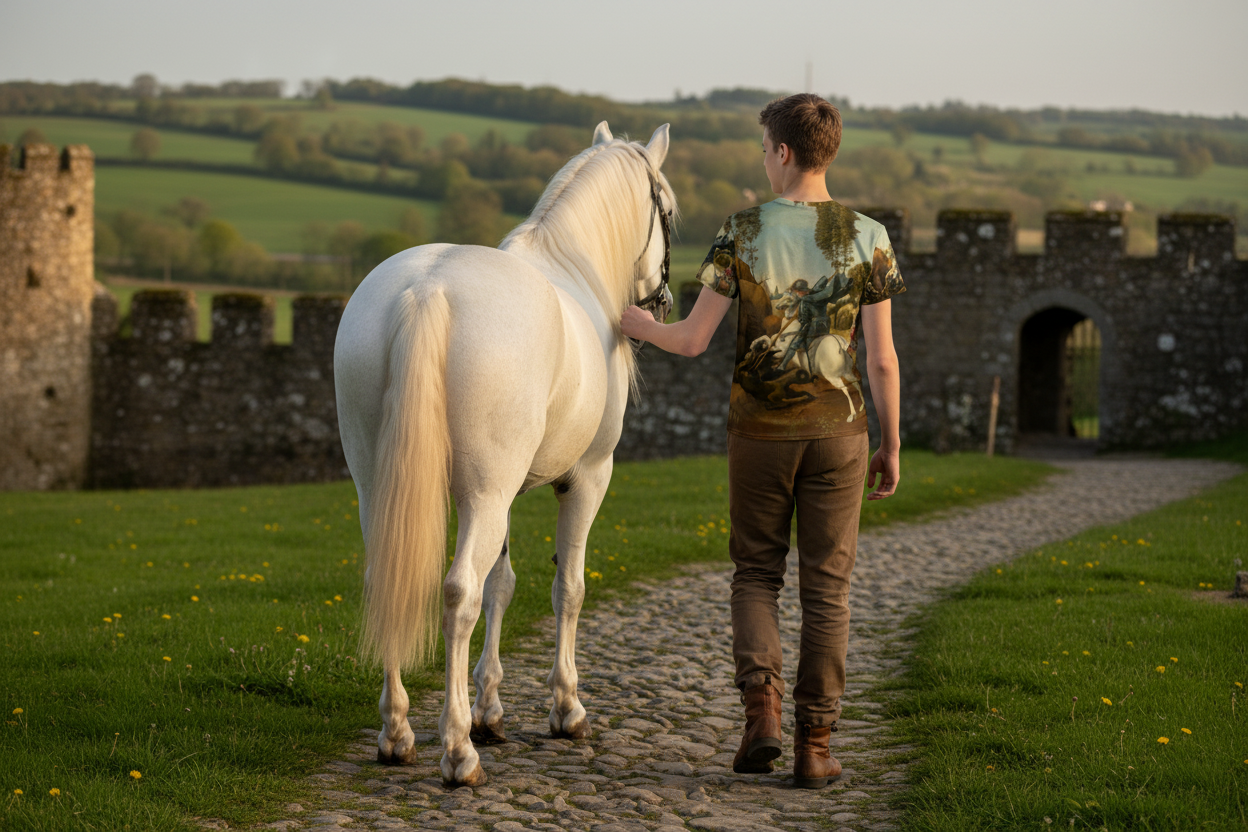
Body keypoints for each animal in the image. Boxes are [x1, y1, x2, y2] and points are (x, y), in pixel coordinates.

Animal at [333, 122, 675, 788]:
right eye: (668, 211)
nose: (664, 301)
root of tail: (427, 290)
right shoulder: (587, 478)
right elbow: (566, 586)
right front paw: (565, 708)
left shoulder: (504, 492)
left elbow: (504, 583)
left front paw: (490, 709)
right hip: (487, 494)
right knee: (456, 593)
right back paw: (457, 751)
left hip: (384, 489)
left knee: (387, 579)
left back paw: (399, 733)